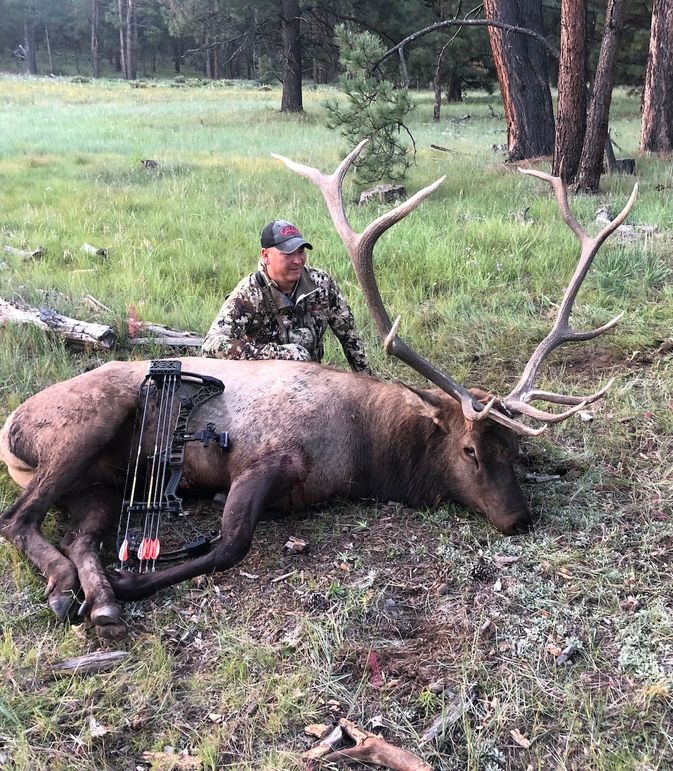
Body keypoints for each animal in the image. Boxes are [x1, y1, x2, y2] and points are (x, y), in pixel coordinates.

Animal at [0, 142, 637, 640]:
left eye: (517, 448)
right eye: (469, 450)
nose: (519, 518)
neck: (364, 453)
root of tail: (12, 426)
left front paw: (120, 585)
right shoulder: (262, 458)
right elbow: (229, 544)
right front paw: (134, 580)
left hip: (103, 485)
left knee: (76, 533)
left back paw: (89, 595)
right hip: (87, 427)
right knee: (16, 519)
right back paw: (82, 590)